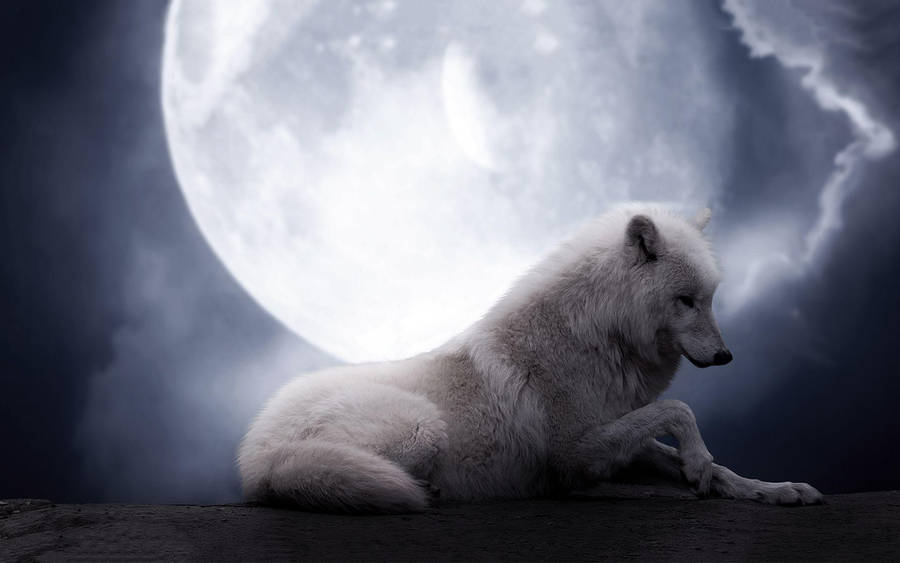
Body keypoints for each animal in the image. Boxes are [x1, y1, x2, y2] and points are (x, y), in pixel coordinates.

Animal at [237, 205, 823, 513]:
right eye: (686, 301)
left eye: (711, 298)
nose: (726, 356)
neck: (599, 336)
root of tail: (256, 453)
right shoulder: (575, 452)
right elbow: (679, 410)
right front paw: (699, 464)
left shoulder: (616, 436)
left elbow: (708, 460)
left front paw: (771, 489)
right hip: (423, 428)